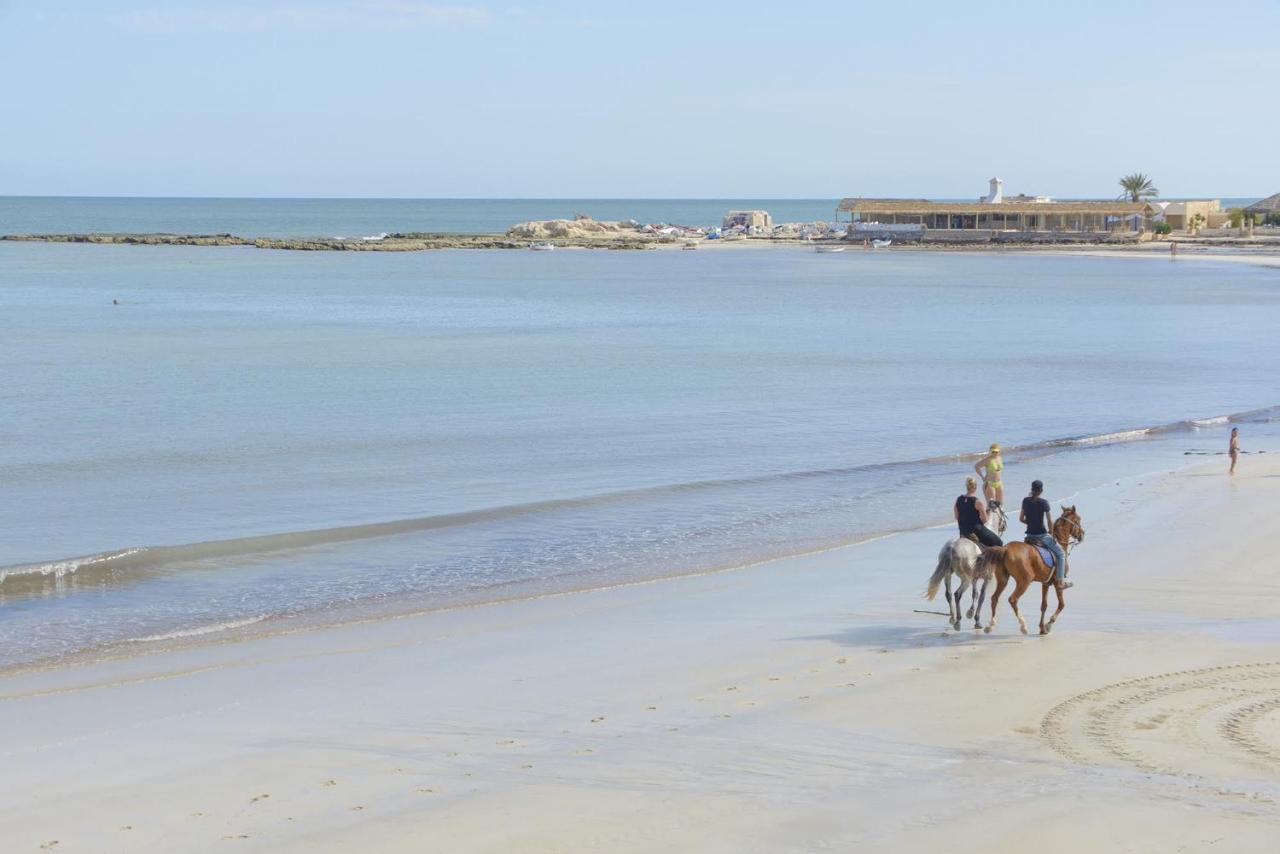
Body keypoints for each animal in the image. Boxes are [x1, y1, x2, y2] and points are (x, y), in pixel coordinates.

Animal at [926, 504, 1003, 632]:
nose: (1003, 527)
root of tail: (951, 548)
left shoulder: (975, 578)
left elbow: (975, 593)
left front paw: (970, 613)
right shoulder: (987, 577)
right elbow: (981, 596)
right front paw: (976, 620)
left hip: (948, 574)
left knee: (948, 594)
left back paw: (952, 618)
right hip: (965, 579)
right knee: (957, 594)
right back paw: (958, 621)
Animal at [972, 507, 1085, 635]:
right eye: (1078, 520)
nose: (1082, 534)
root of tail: (1005, 549)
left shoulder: (1045, 584)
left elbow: (1044, 605)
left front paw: (1042, 628)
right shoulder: (1057, 583)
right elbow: (1061, 604)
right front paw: (1048, 625)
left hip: (1003, 579)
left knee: (994, 598)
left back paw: (990, 625)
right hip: (1024, 581)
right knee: (1013, 599)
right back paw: (1023, 625)